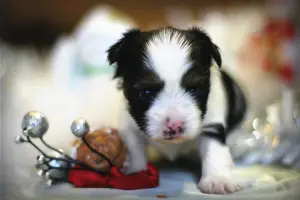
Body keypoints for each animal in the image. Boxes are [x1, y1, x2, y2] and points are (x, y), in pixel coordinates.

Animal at [106, 26, 247, 194]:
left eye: (194, 89)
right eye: (146, 92)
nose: (175, 125)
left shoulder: (211, 124)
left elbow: (214, 149)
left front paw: (217, 180)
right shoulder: (130, 124)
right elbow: (135, 149)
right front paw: (136, 171)